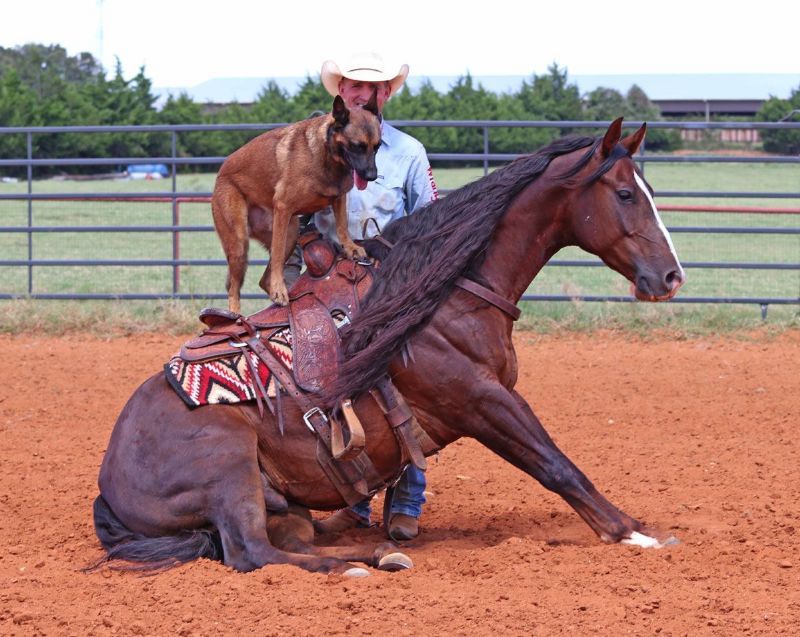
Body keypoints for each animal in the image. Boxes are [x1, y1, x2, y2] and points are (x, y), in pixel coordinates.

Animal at [92, 118, 684, 576]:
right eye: (625, 194)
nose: (671, 276)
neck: (440, 291)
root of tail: (108, 481)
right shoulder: (483, 400)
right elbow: (557, 465)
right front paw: (633, 533)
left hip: (285, 507)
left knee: (288, 543)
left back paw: (376, 552)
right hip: (229, 464)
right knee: (251, 552)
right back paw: (358, 563)